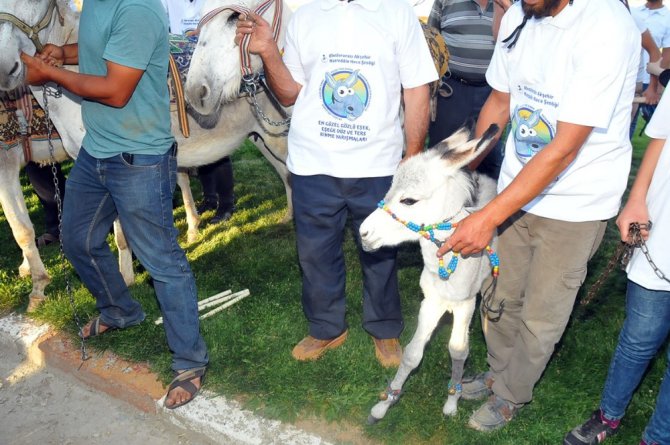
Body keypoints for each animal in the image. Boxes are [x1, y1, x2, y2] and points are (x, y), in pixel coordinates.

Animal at [362, 124, 498, 420]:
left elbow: (458, 351)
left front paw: (452, 402)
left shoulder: (465, 304)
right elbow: (412, 353)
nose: (363, 233)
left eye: (409, 200)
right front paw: (384, 404)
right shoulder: (432, 301)